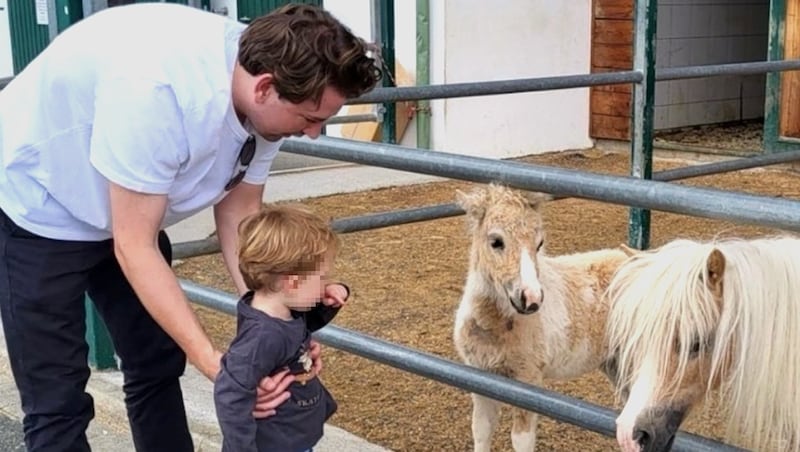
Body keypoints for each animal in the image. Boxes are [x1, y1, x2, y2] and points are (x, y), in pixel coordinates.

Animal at [456, 185, 632, 452]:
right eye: (496, 241)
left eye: (539, 244)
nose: (531, 299)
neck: (495, 325)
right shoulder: (478, 375)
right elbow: (481, 430)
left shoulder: (529, 380)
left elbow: (521, 439)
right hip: (616, 365)